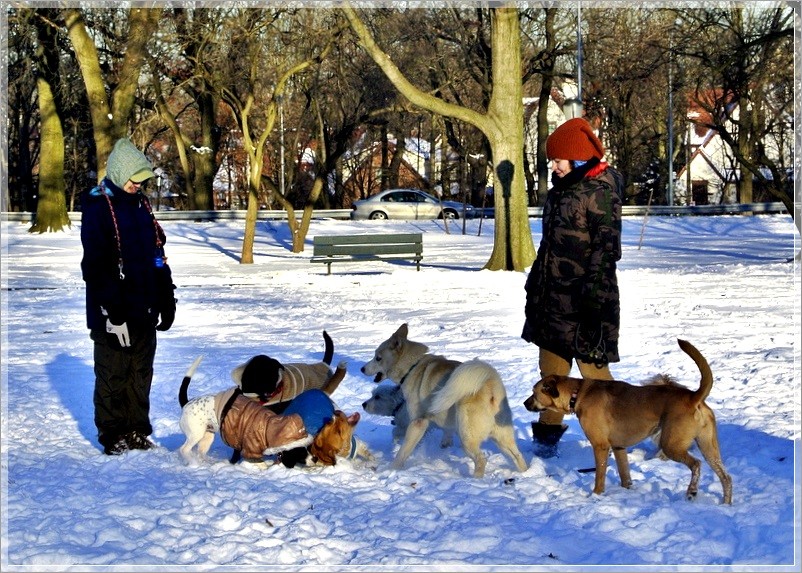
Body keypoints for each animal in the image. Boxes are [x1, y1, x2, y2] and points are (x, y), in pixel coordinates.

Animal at [360, 322, 524, 478]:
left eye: (378, 358)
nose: (362, 369)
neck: (412, 367)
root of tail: (492, 385)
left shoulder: (418, 422)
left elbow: (403, 450)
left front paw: (393, 468)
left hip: (467, 437)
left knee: (481, 459)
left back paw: (475, 480)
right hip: (502, 438)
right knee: (517, 456)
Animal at [520, 338, 732, 502]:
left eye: (534, 392)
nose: (524, 403)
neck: (577, 393)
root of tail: (693, 397)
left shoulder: (600, 446)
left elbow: (600, 476)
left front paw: (596, 495)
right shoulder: (619, 447)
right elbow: (625, 475)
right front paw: (627, 490)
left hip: (671, 444)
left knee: (696, 465)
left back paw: (692, 491)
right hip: (708, 447)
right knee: (726, 477)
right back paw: (726, 504)